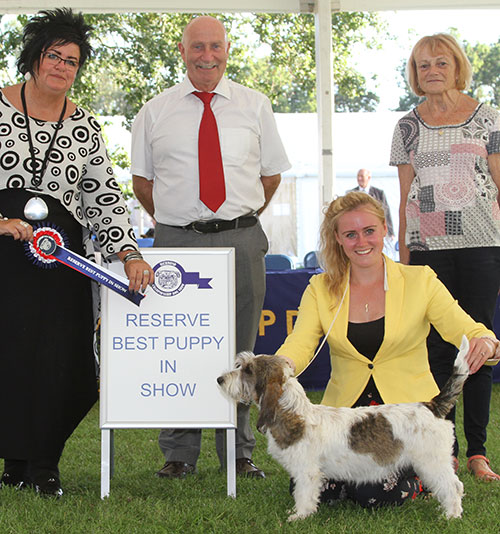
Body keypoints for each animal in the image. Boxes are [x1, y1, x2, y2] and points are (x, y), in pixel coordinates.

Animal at [217, 338, 470, 520]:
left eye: (248, 370)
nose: (220, 379)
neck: (296, 414)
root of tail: (432, 406)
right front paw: (298, 513)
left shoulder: (307, 472)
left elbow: (303, 494)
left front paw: (300, 516)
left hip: (432, 462)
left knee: (454, 486)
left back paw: (451, 516)